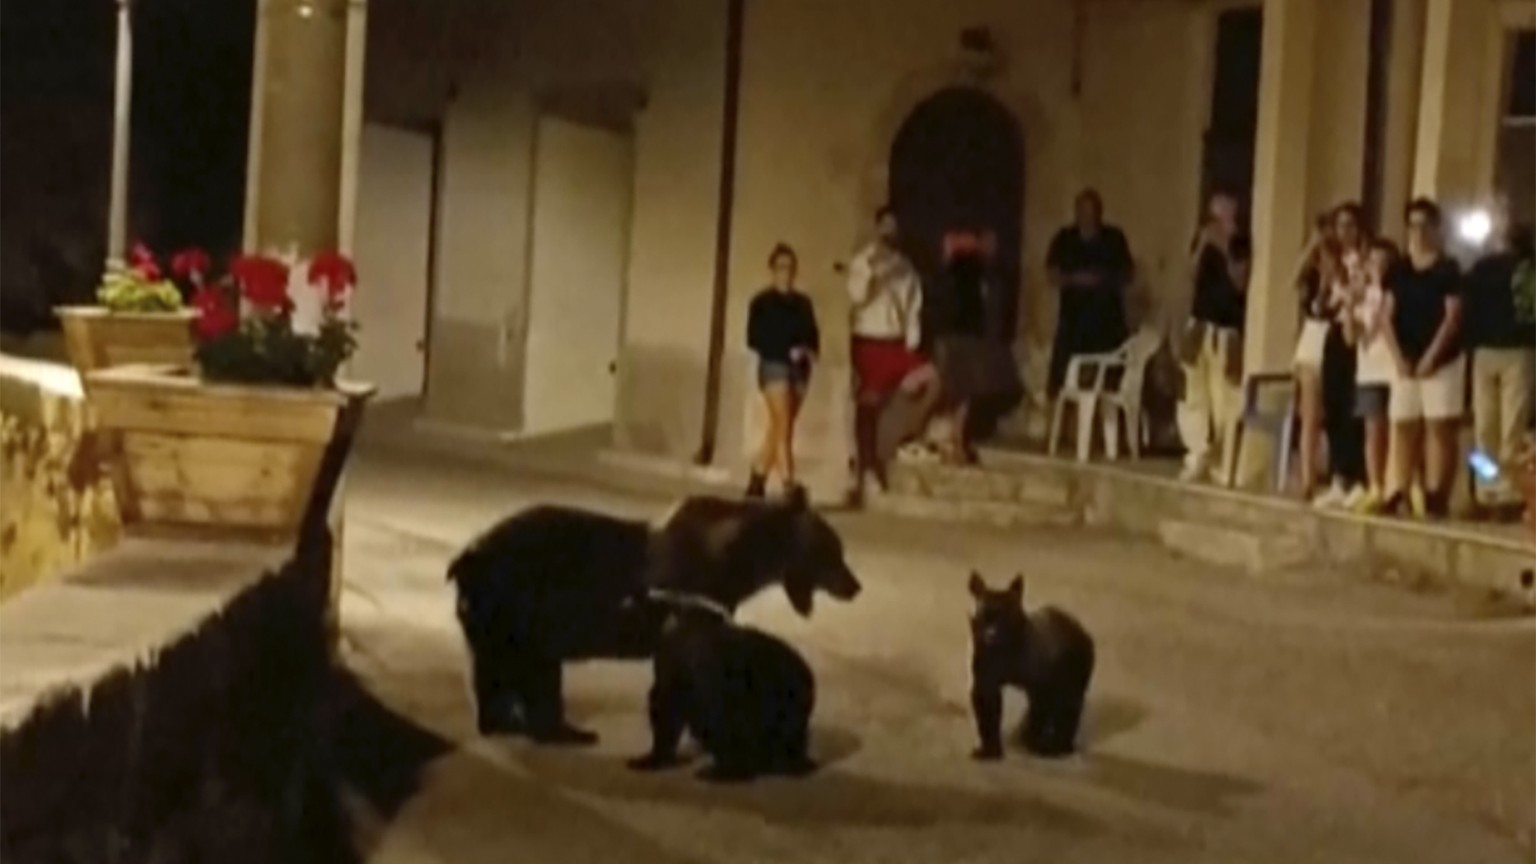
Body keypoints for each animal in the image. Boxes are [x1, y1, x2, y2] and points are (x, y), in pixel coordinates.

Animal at [448, 488, 866, 744]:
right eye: (835, 550)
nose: (856, 585)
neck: (738, 560)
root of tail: (466, 558)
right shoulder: (692, 595)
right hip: (519, 603)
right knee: (527, 671)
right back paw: (558, 730)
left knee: (502, 671)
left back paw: (509, 721)